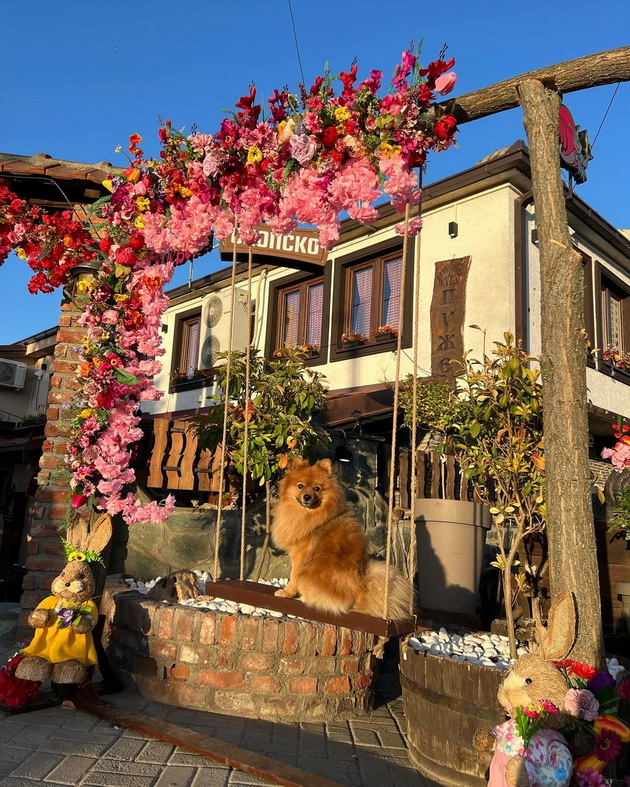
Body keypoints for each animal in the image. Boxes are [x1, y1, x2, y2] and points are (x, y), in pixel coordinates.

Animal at [272, 458, 412, 620]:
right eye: (300, 486)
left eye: (317, 489)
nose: (307, 496)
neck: (310, 515)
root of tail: (360, 590)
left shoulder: (300, 556)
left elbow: (293, 576)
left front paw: (287, 592)